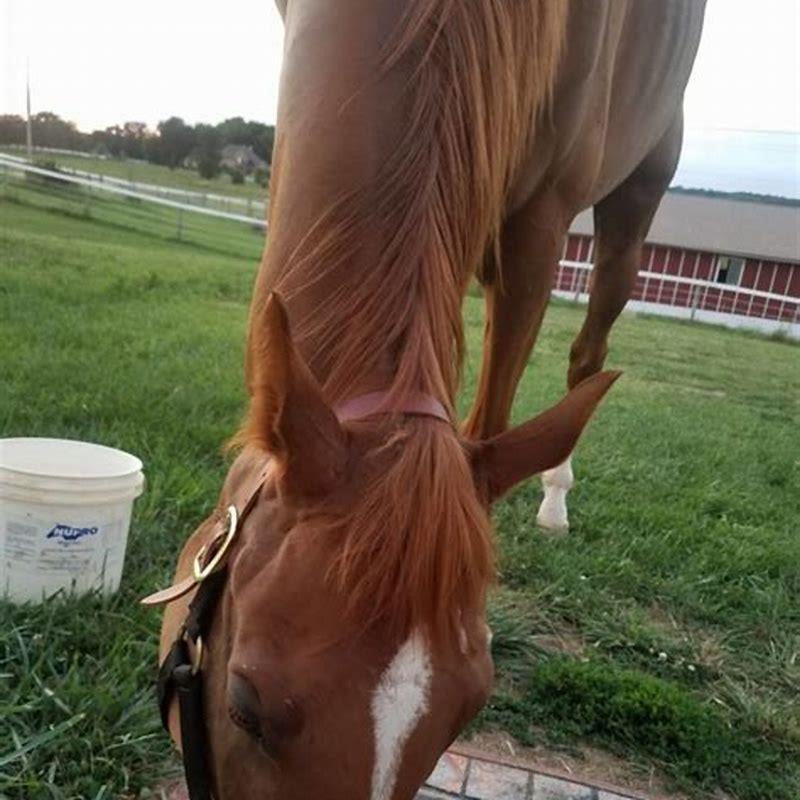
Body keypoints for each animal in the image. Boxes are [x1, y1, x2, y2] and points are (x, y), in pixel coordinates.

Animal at [151, 1, 706, 797]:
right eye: (244, 705)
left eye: (470, 709)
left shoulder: (539, 226)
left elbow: (495, 418)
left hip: (638, 192)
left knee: (590, 345)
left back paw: (556, 498)